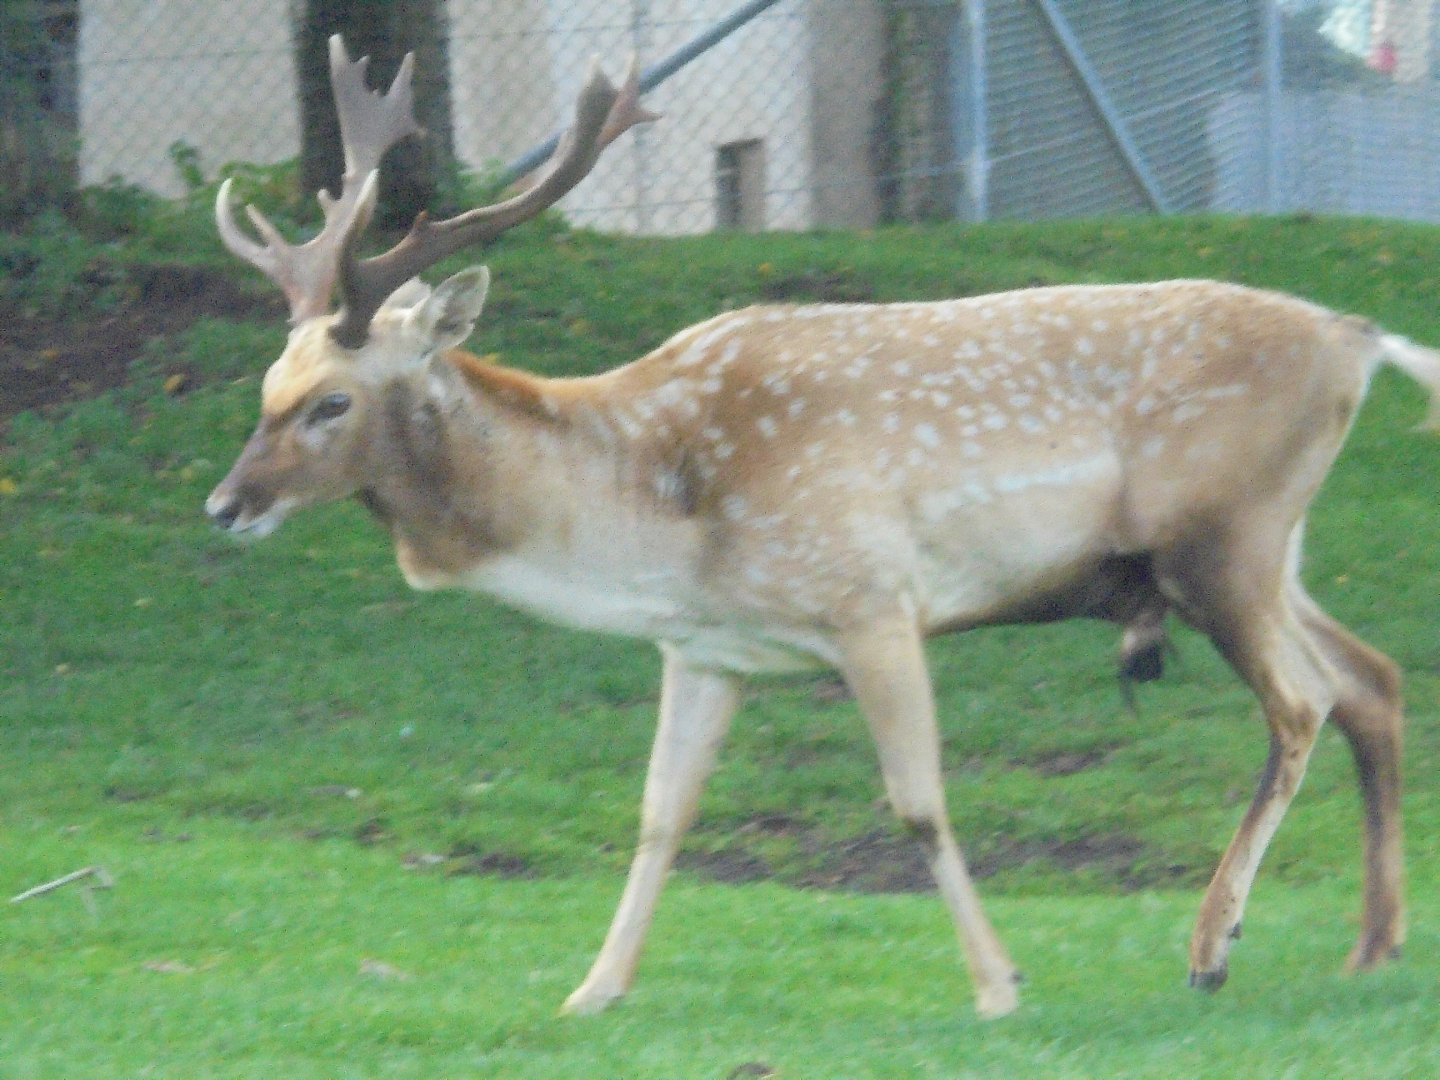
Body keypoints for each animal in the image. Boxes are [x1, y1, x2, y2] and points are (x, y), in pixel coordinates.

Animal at [206, 36, 1440, 1020]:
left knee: (1304, 701)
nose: (225, 506)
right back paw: (1372, 945)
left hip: (1224, 534)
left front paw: (999, 985)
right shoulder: (704, 646)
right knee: (1373, 678)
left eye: (331, 402)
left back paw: (1211, 948)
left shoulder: (870, 598)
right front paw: (592, 990)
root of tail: (1358, 338)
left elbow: (919, 804)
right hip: (1265, 551)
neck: (652, 524)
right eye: (268, 380)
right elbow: (659, 816)